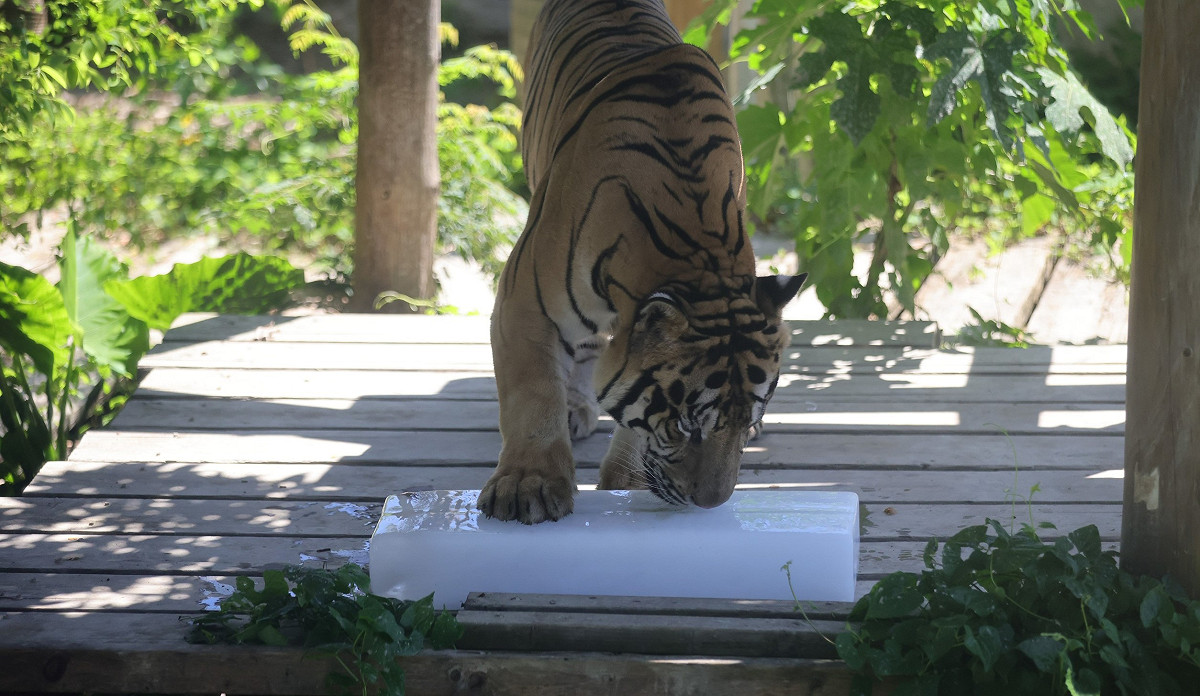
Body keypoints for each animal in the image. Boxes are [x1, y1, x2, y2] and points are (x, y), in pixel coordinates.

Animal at [478, 0, 806, 524]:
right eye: (686, 427)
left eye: (744, 421)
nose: (712, 503)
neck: (699, 250)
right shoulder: (525, 303)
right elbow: (533, 396)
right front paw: (528, 485)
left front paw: (626, 481)